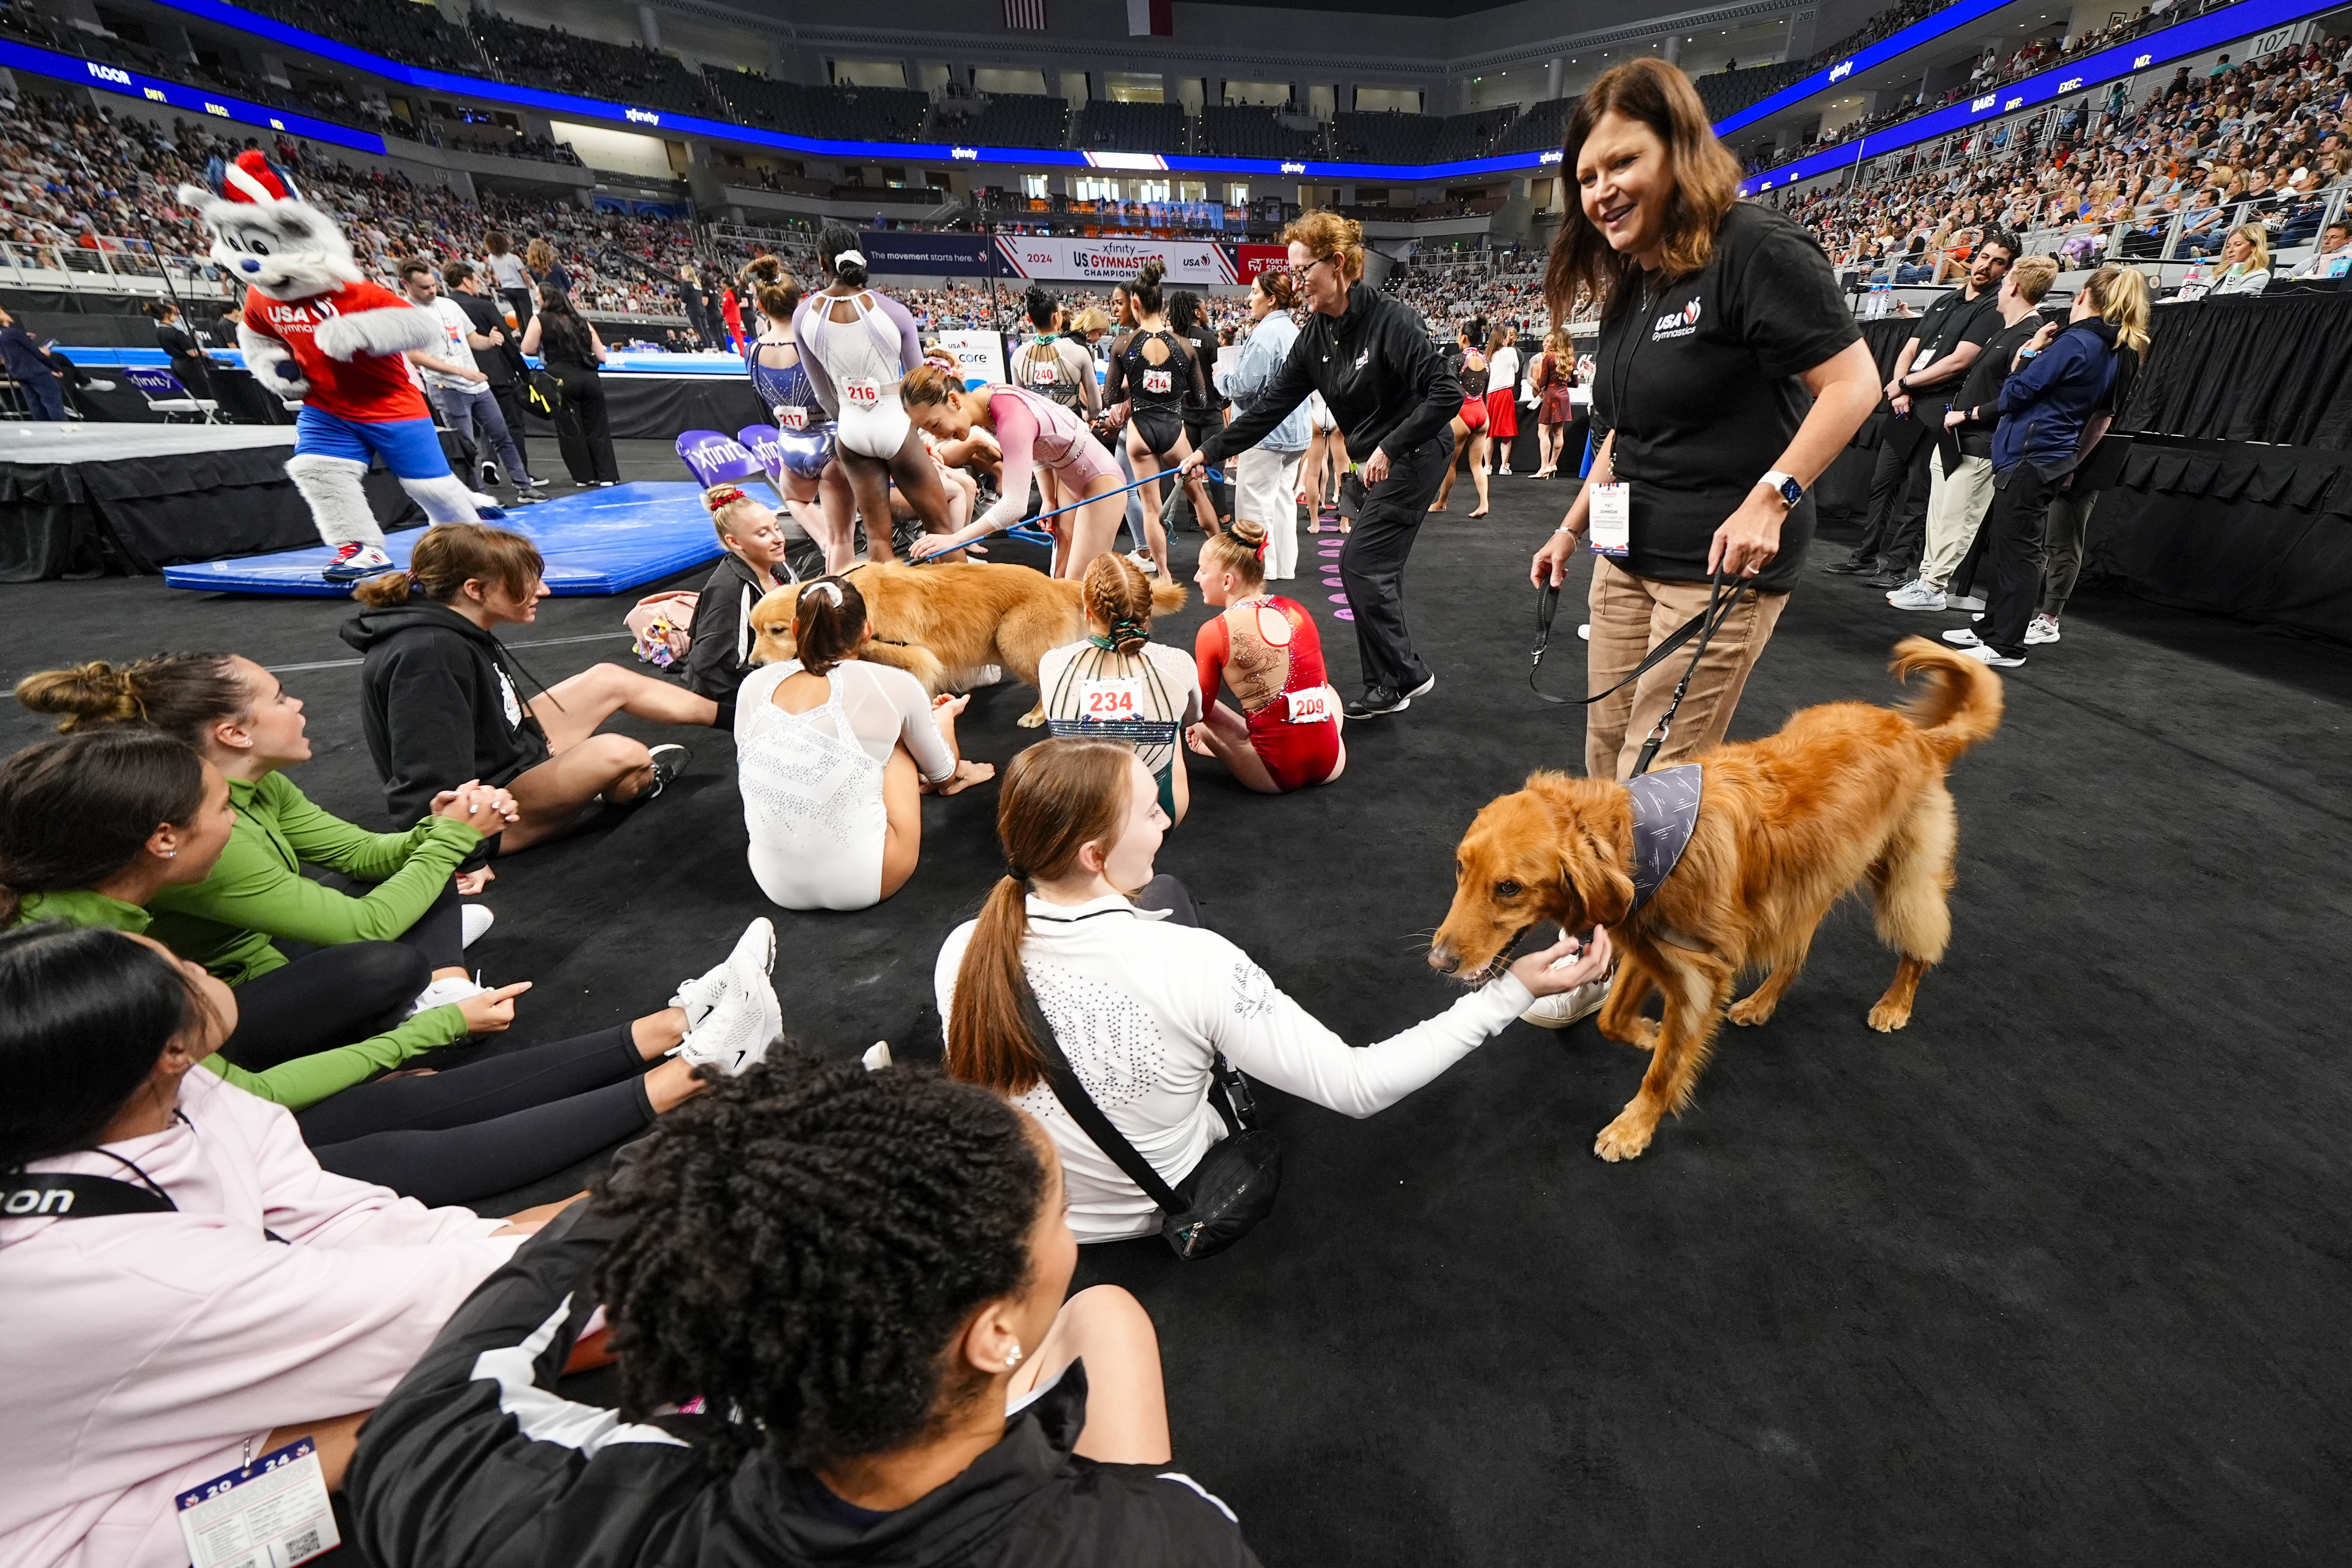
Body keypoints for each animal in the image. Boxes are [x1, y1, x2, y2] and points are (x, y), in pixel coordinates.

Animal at [752, 562, 1185, 729]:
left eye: (778, 630)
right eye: (752, 629)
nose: (751, 666)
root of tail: (1053, 582)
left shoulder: (917, 659)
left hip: (1012, 640)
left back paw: (1037, 715)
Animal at [1411, 639, 2004, 1166]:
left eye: (1509, 887)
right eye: (1461, 868)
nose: (1438, 961)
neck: (1640, 841)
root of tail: (1919, 735)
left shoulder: (1700, 971)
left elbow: (1664, 1065)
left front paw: (1634, 1125)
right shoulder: (1654, 944)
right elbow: (1612, 1018)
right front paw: (1646, 1033)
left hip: (1903, 880)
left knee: (1921, 944)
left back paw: (1895, 1003)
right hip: (1806, 886)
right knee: (1795, 954)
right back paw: (1761, 1003)